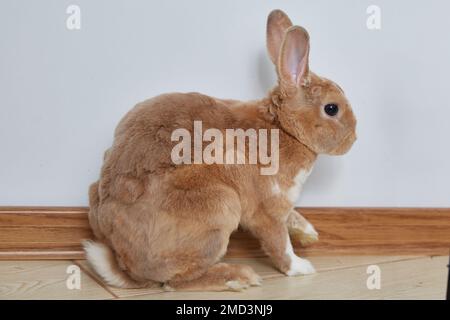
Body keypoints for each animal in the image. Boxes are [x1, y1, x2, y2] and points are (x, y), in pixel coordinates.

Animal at [84, 8, 356, 292]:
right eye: (332, 108)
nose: (354, 138)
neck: (283, 127)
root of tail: (127, 265)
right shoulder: (267, 210)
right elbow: (279, 243)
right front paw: (301, 267)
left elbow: (292, 217)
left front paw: (309, 233)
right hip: (219, 206)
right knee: (175, 282)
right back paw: (238, 276)